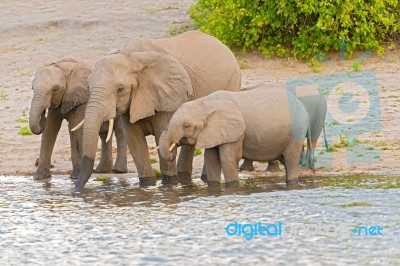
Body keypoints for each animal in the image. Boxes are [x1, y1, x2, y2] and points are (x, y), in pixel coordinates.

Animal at [72, 30, 241, 191]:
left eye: (120, 89)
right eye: (88, 87)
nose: (76, 189)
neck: (130, 57)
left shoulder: (167, 97)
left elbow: (161, 134)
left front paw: (169, 184)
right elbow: (135, 142)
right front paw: (147, 185)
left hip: (231, 83)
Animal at [159, 85, 312, 187]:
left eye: (187, 126)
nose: (173, 148)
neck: (205, 102)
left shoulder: (235, 132)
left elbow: (228, 159)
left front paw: (232, 188)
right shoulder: (214, 132)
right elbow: (211, 159)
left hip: (296, 131)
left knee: (291, 159)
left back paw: (292, 184)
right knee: (285, 159)